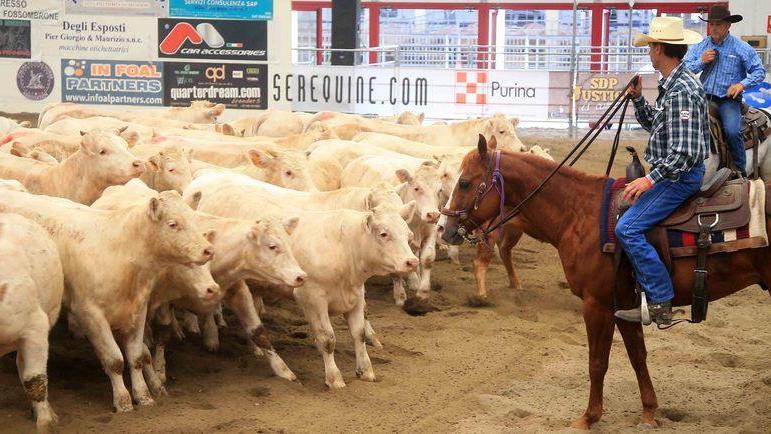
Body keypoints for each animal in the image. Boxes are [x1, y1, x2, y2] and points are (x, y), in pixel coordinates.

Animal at [441, 134, 771, 429]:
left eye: (465, 182)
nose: (446, 229)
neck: (578, 213)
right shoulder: (624, 304)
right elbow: (637, 356)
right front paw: (649, 413)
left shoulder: (596, 304)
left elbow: (597, 362)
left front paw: (588, 417)